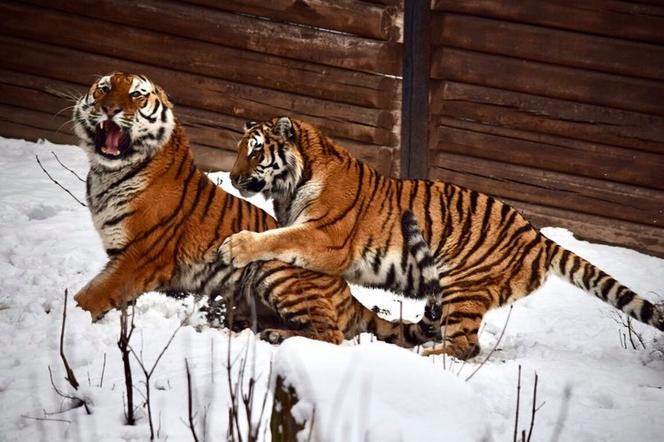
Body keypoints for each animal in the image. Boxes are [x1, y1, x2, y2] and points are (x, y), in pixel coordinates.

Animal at [70, 71, 444, 346]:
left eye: (136, 95)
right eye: (104, 88)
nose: (109, 109)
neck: (108, 173)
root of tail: (350, 295)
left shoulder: (141, 255)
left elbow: (92, 295)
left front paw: (68, 318)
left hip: (275, 269)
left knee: (332, 334)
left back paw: (271, 335)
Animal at [220, 116, 664, 360]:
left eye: (256, 152)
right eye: (239, 149)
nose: (235, 178)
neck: (290, 186)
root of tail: (538, 237)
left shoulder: (325, 238)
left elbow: (277, 238)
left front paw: (235, 246)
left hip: (463, 286)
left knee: (466, 346)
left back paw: (427, 355)